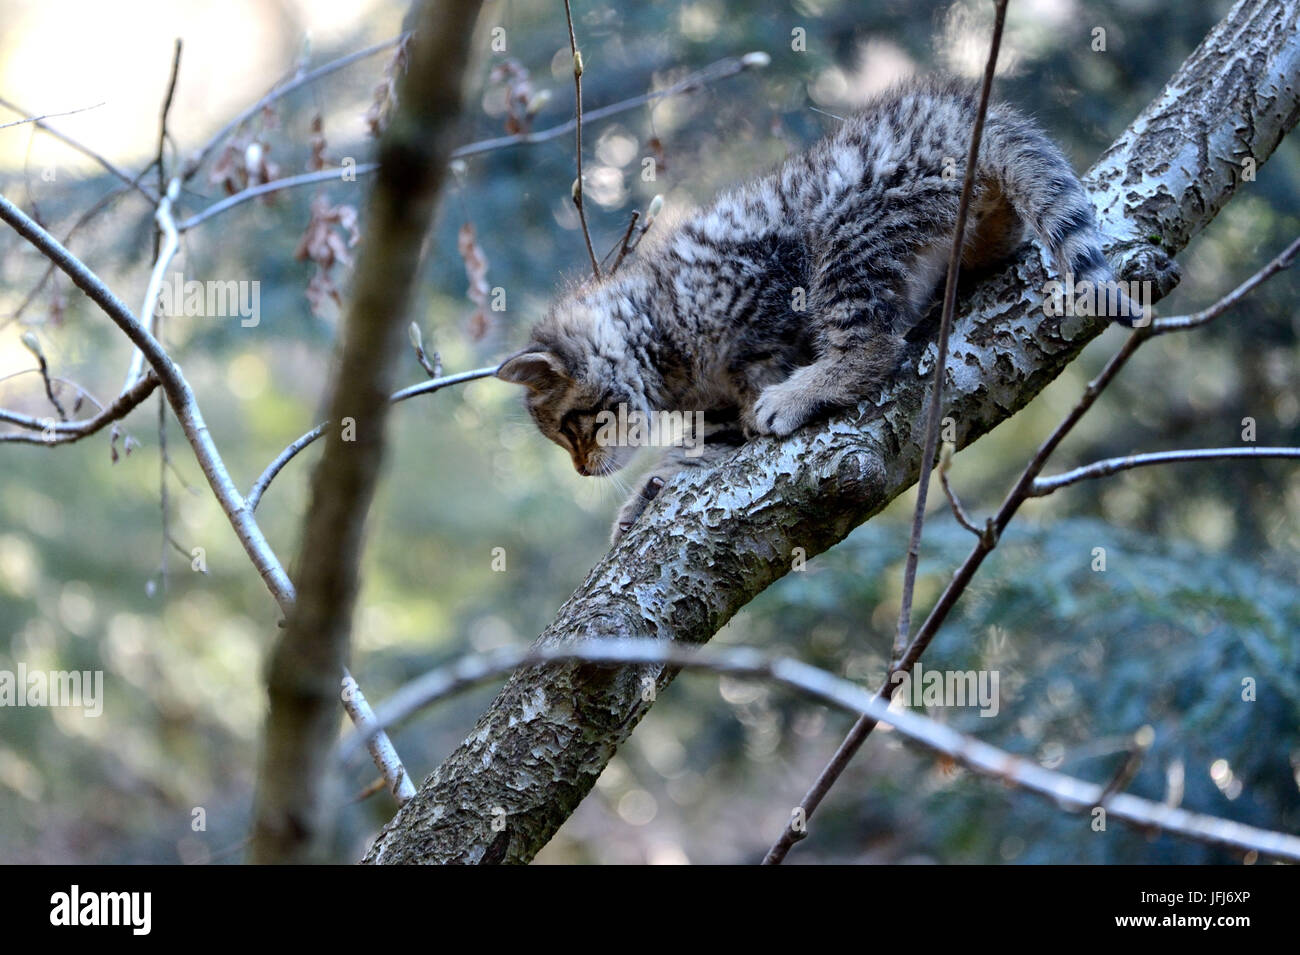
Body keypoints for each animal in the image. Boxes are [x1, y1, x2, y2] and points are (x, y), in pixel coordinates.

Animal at [501, 78, 1133, 540]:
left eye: (570, 427)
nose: (582, 469)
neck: (657, 330)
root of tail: (949, 111)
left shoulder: (764, 284)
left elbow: (759, 384)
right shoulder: (718, 411)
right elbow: (699, 452)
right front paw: (649, 493)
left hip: (846, 225)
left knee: (871, 343)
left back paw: (811, 388)